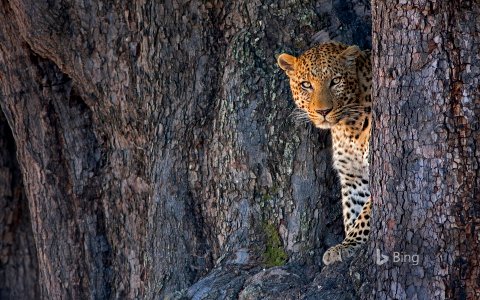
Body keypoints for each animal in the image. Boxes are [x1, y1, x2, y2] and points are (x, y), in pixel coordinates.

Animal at [276, 40, 374, 264]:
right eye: (306, 85)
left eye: (336, 81)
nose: (323, 111)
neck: (349, 127)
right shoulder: (353, 176)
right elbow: (353, 210)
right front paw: (348, 243)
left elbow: (366, 212)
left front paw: (349, 243)